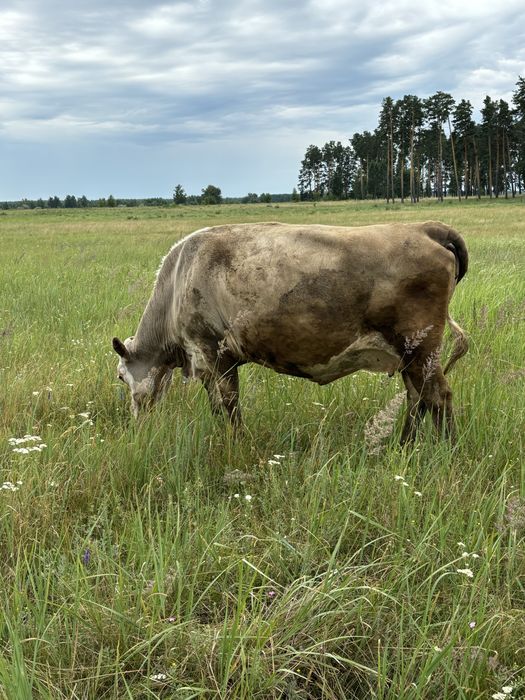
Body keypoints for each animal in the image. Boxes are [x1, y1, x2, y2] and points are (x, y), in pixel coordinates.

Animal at [113, 221, 468, 443]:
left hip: (421, 349)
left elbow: (228, 406)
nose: (136, 421)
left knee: (438, 397)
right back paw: (404, 445)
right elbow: (220, 407)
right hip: (409, 357)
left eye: (120, 376)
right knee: (416, 399)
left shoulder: (213, 354)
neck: (178, 279)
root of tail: (425, 228)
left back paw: (446, 450)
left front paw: (235, 443)